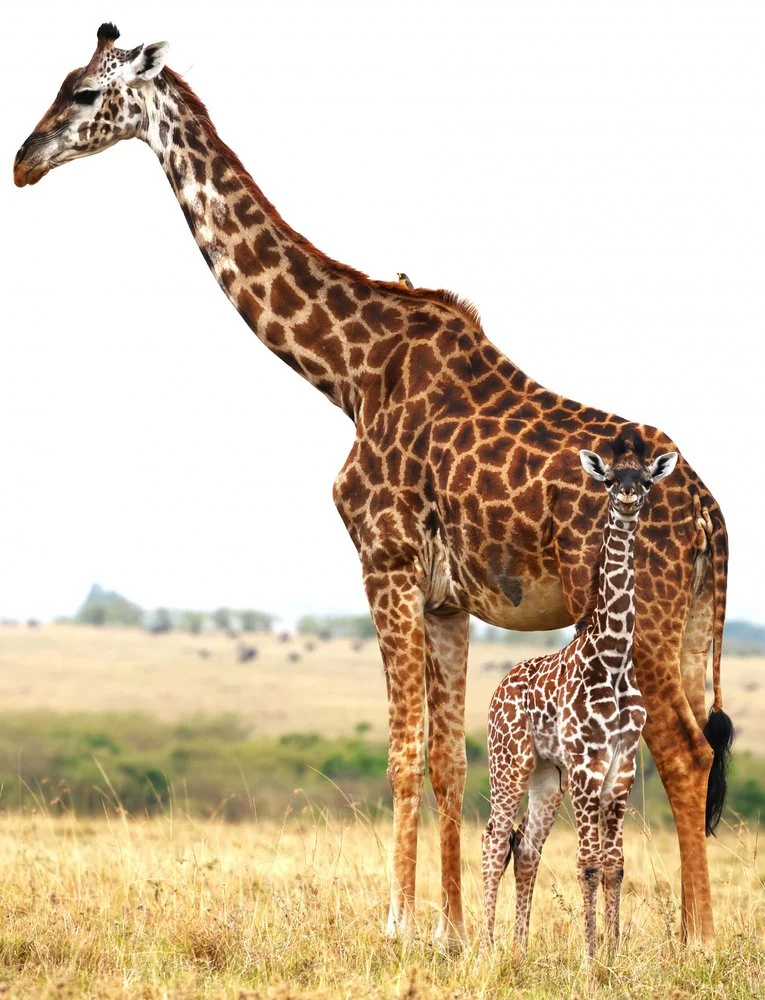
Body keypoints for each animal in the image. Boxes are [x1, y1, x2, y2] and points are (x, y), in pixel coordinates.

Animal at [482, 432, 676, 958]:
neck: (612, 657)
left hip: (547, 776)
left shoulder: (621, 768)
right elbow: (588, 864)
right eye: (609, 478)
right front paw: (591, 956)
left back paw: (519, 950)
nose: (627, 497)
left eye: (645, 478)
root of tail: (498, 691)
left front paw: (613, 951)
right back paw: (484, 948)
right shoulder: (588, 765)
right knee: (493, 841)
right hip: (509, 764)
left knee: (526, 848)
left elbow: (616, 865)